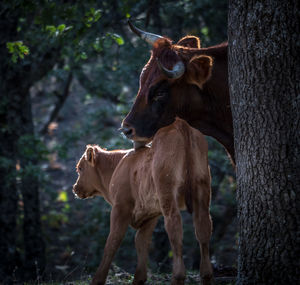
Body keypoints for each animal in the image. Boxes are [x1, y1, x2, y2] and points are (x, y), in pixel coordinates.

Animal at [73, 116, 213, 282]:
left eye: (80, 168)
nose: (75, 188)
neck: (118, 165)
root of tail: (180, 124)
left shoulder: (120, 208)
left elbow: (112, 242)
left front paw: (98, 279)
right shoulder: (150, 215)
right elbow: (141, 242)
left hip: (168, 196)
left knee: (175, 229)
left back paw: (178, 275)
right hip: (202, 194)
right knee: (203, 231)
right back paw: (206, 273)